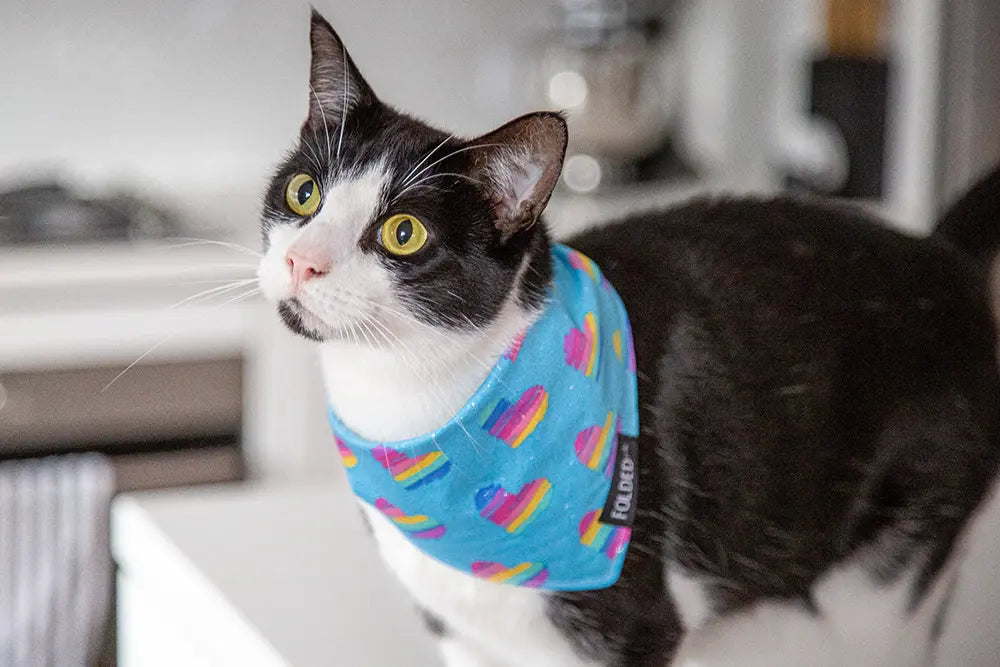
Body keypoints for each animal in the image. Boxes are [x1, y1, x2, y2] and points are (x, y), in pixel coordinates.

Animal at [256, 11, 1000, 667]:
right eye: (302, 193)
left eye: (403, 232)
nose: (301, 261)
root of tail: (941, 256)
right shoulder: (462, 635)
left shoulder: (633, 623)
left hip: (889, 574)